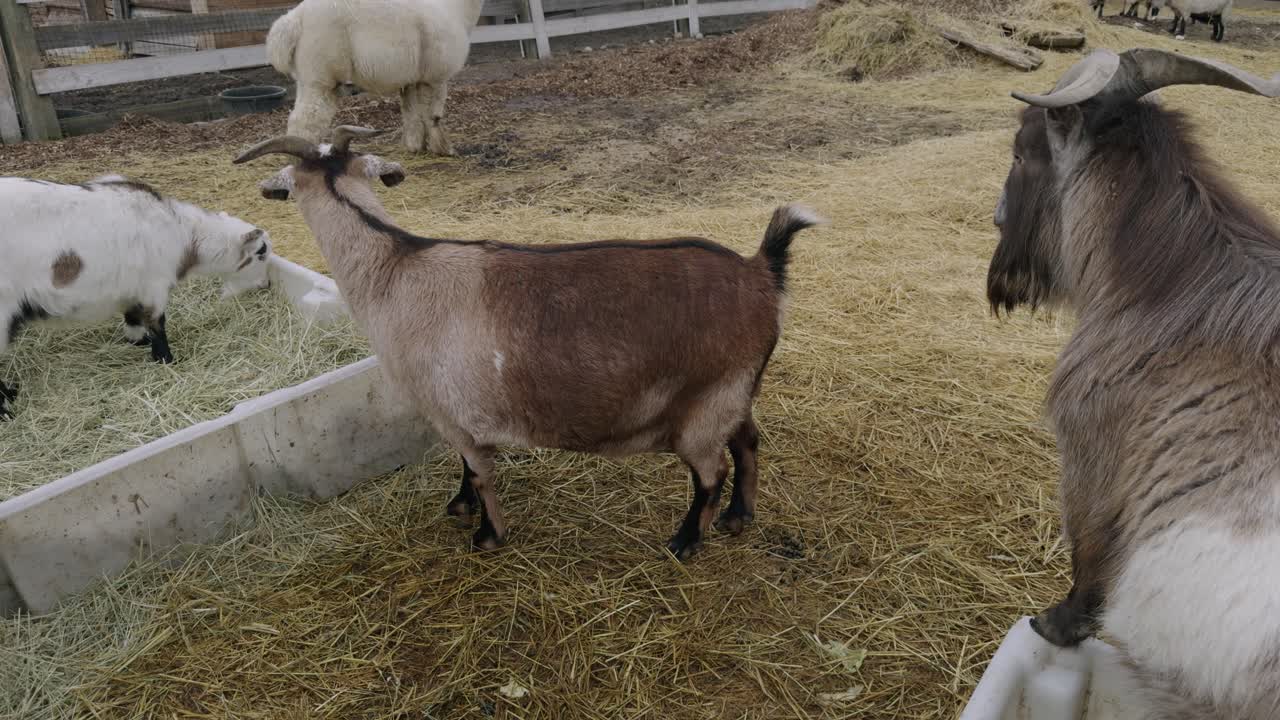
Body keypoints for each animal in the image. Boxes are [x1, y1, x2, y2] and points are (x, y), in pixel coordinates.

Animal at [0, 175, 272, 420]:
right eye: (261, 252)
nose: (267, 284)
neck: (183, 235)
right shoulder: (155, 284)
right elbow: (157, 323)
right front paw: (166, 360)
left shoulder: (133, 289)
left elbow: (132, 317)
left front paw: (136, 341)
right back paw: (7, 408)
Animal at [233, 128, 820, 558]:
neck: (395, 268)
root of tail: (761, 271)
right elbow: (468, 472)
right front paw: (461, 508)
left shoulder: (453, 415)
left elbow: (481, 473)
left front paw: (486, 535)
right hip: (732, 394)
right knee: (747, 443)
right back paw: (738, 519)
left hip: (705, 406)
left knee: (711, 473)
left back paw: (685, 542)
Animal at [266, 0, 482, 155]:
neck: (454, 9)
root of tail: (294, 19)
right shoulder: (436, 76)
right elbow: (434, 115)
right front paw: (444, 149)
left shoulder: (413, 79)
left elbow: (412, 113)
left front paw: (414, 147)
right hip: (320, 76)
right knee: (304, 122)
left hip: (307, 79)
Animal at [989, 48, 1280, 718]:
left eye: (1020, 153)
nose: (996, 218)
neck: (1173, 287)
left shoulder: (1090, 445)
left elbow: (1090, 551)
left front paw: (1054, 624)